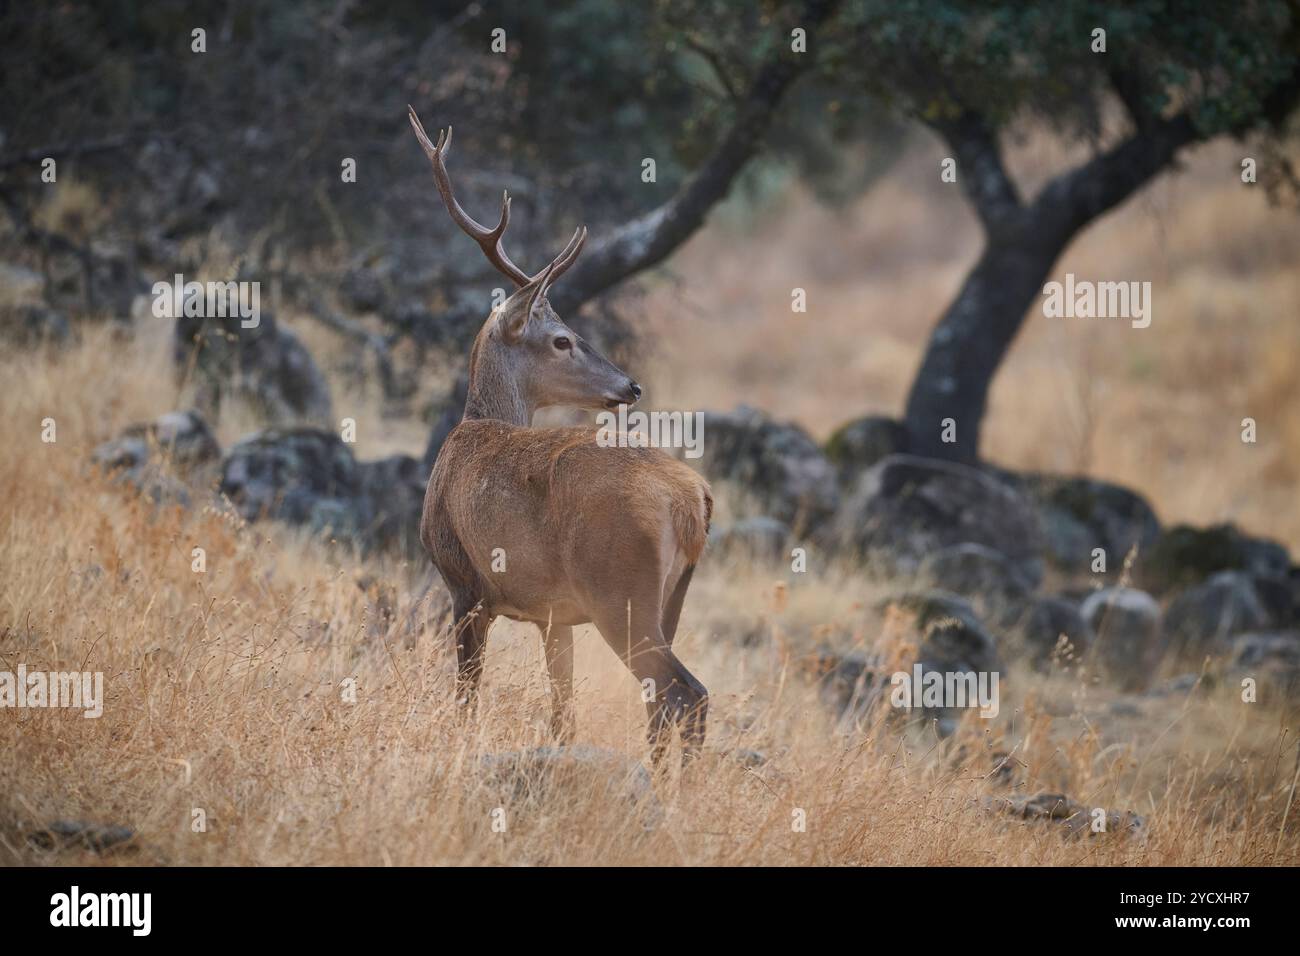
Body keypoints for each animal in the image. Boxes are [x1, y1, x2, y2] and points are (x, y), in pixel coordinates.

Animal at [408, 107, 712, 764]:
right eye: (563, 339)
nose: (630, 386)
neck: (472, 426)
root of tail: (692, 500)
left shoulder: (464, 582)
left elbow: (466, 697)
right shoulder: (555, 617)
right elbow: (562, 710)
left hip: (620, 589)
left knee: (685, 693)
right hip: (669, 598)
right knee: (660, 703)